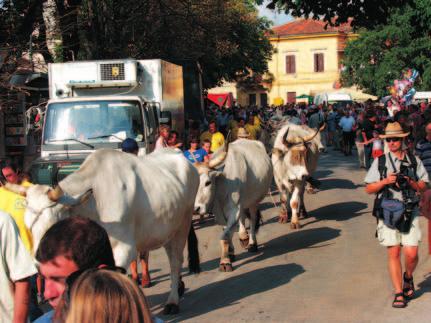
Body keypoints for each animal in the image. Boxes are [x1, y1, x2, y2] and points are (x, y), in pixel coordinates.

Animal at [7, 149, 199, 314]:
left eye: (53, 225)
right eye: (28, 225)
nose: (38, 264)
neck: (95, 203)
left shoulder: (124, 250)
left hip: (183, 224)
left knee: (175, 261)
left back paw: (173, 301)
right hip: (168, 228)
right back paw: (179, 287)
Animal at [194, 140, 272, 272]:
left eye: (207, 183)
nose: (196, 209)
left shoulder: (234, 209)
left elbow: (225, 236)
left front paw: (225, 262)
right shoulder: (219, 213)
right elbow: (226, 231)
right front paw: (230, 253)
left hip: (253, 202)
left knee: (252, 219)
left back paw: (251, 243)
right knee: (242, 218)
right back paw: (243, 236)